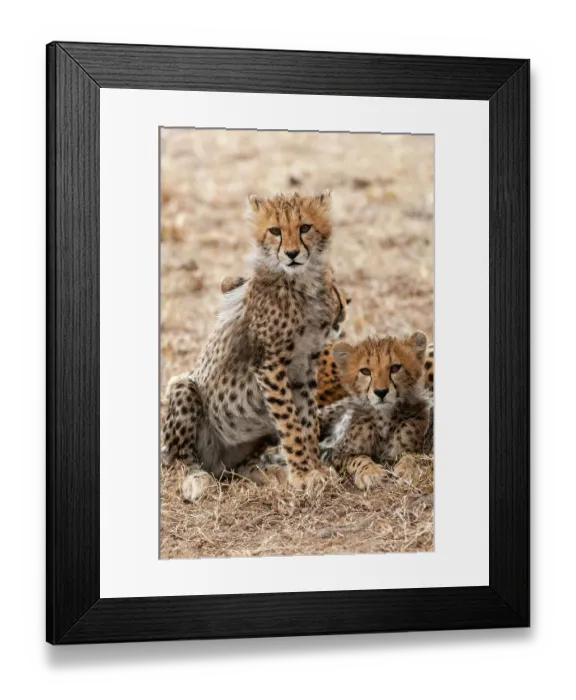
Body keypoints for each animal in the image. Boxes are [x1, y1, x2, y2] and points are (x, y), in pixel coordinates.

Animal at [162, 191, 336, 501]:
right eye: (275, 231)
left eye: (305, 227)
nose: (292, 254)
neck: (301, 283)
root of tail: (218, 462)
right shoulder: (269, 365)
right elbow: (290, 424)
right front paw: (303, 473)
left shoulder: (306, 365)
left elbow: (307, 420)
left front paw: (313, 468)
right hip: (183, 388)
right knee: (179, 459)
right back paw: (196, 479)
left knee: (241, 466)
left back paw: (268, 472)